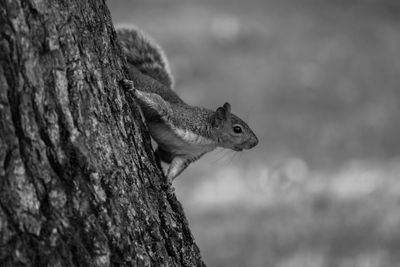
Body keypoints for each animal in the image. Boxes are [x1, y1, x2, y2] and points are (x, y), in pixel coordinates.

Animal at [117, 26, 258, 182]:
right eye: (237, 129)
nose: (255, 142)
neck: (206, 140)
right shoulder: (178, 117)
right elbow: (159, 102)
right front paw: (133, 90)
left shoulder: (187, 155)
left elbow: (177, 166)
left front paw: (169, 181)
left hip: (167, 152)